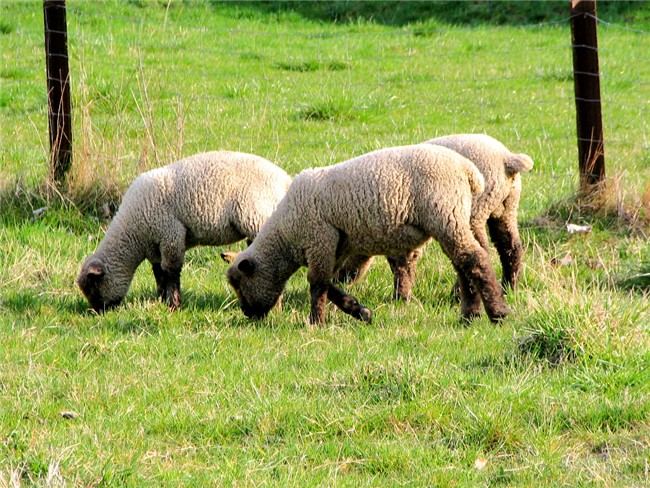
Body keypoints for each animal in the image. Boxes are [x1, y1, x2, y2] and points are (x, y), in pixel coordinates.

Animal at [75, 151, 288, 312]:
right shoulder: (155, 247)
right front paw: (162, 300)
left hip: (256, 217)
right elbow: (159, 273)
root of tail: (285, 179)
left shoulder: (171, 234)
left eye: (93, 288)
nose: (99, 312)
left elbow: (171, 271)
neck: (132, 233)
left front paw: (174, 305)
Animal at [225, 145, 508, 328]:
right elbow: (330, 284)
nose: (248, 314)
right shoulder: (337, 246)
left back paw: (498, 313)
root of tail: (469, 171)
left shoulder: (320, 238)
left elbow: (317, 284)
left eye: (240, 283)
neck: (286, 235)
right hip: (453, 219)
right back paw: (470, 315)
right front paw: (360, 312)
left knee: (475, 259)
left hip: (445, 214)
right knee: (463, 264)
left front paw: (315, 322)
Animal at [334, 133, 532, 302]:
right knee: (511, 247)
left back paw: (458, 295)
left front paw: (399, 298)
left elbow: (399, 264)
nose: (337, 280)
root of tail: (506, 158)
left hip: (472, 211)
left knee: (479, 250)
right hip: (505, 208)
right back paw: (508, 288)